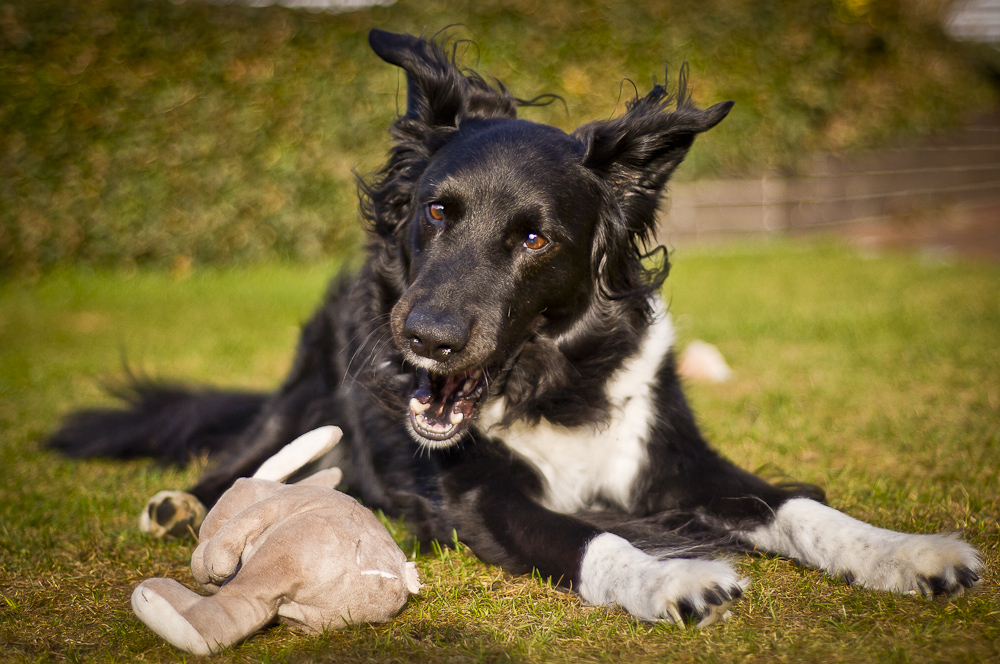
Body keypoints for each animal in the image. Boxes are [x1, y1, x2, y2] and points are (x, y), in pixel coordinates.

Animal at [50, 28, 980, 624]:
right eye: (436, 210)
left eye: (535, 239)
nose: (425, 338)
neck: (553, 383)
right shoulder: (481, 499)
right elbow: (586, 533)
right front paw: (670, 581)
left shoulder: (680, 459)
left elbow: (797, 505)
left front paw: (911, 554)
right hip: (302, 396)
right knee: (247, 457)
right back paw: (180, 504)